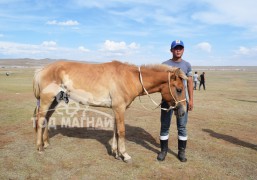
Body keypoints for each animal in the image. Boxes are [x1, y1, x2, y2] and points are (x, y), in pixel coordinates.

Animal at [33, 59, 187, 162]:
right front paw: (124, 155)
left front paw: (116, 153)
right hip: (47, 100)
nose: (183, 111)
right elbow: (121, 131)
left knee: (47, 118)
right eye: (179, 89)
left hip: (55, 101)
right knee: (40, 119)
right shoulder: (119, 108)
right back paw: (39, 147)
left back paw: (46, 143)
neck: (130, 78)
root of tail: (43, 69)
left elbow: (116, 130)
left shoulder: (116, 109)